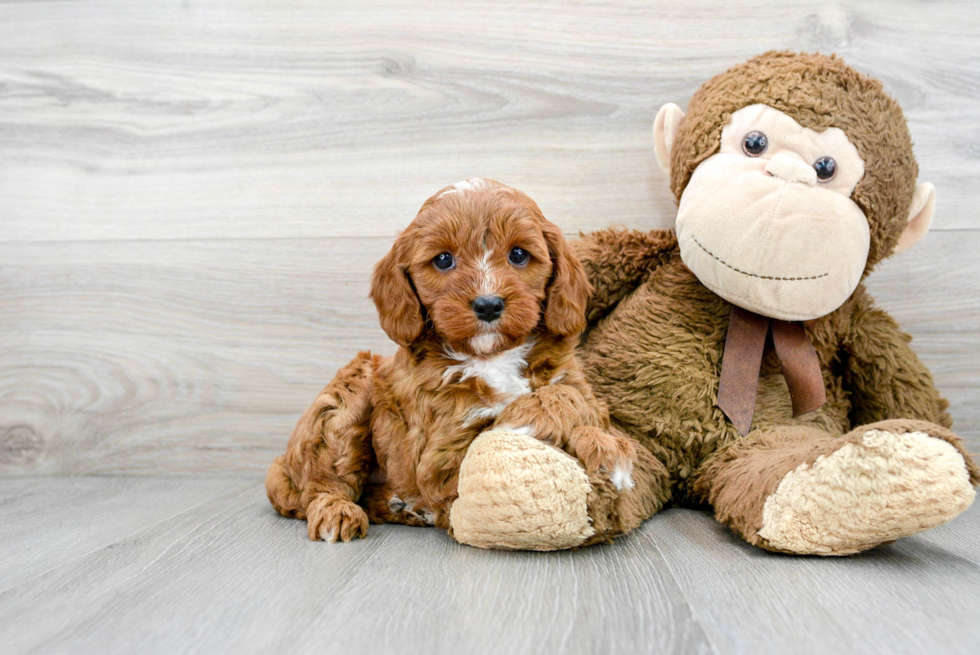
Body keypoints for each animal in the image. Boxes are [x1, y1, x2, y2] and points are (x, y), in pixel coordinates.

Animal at [268, 178, 636, 544]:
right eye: (443, 259)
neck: (491, 356)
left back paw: (404, 507)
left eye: (518, 254)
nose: (488, 305)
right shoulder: (440, 454)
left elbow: (578, 401)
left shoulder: (569, 379)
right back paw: (337, 512)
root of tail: (281, 465)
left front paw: (605, 444)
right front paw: (587, 440)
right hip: (349, 390)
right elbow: (518, 413)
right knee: (323, 481)